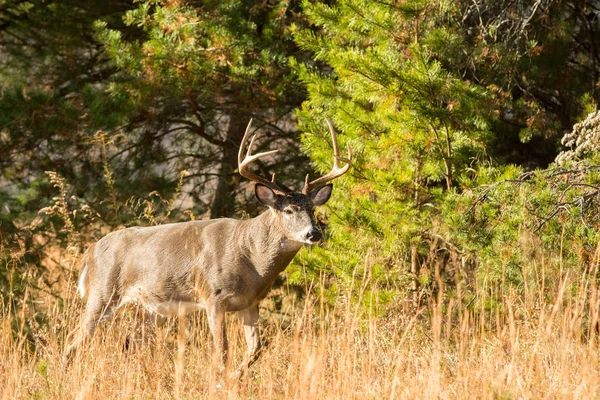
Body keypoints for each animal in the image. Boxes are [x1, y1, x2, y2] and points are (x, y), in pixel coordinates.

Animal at [65, 118, 352, 376]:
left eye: (313, 209)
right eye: (289, 210)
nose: (313, 233)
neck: (251, 259)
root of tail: (90, 252)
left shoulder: (250, 303)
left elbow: (255, 349)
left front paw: (236, 377)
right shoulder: (213, 298)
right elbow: (222, 350)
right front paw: (221, 381)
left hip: (148, 308)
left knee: (130, 343)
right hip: (103, 292)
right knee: (74, 342)